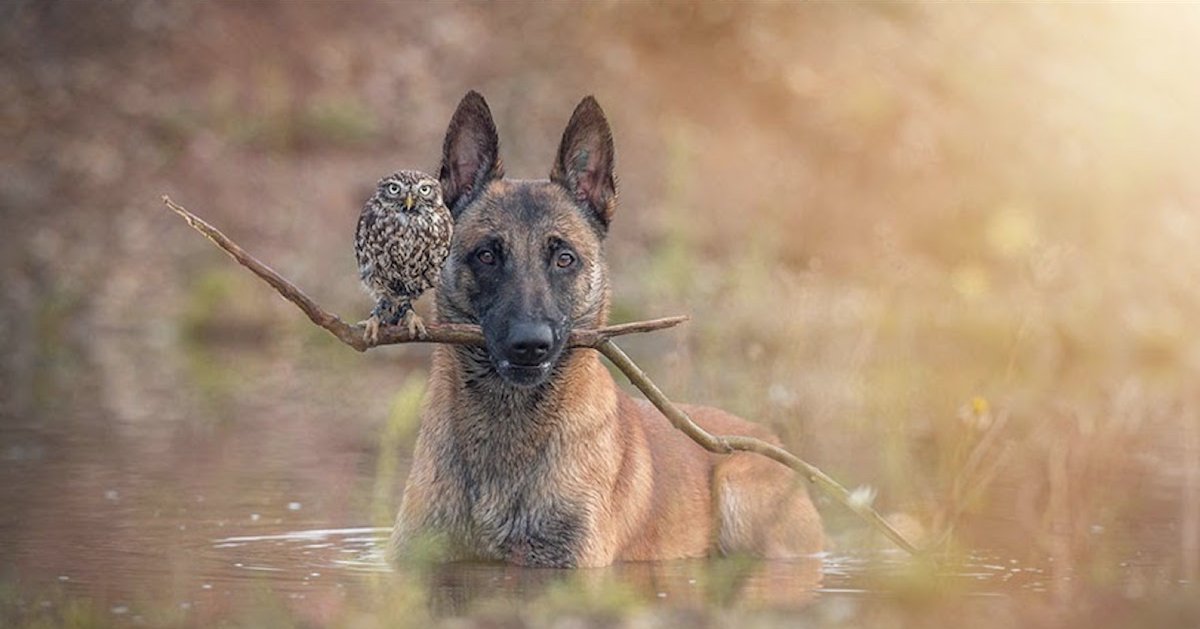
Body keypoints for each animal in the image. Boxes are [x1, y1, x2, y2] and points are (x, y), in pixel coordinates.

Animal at [388, 90, 820, 566]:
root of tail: (767, 437)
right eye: (486, 255)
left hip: (739, 491)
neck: (507, 426)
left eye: (564, 258)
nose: (530, 345)